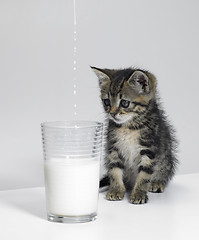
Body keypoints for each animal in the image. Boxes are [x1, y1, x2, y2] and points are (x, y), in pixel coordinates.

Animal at [91, 66, 177, 204]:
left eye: (124, 103)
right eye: (107, 102)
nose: (112, 113)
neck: (129, 127)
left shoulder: (149, 149)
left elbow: (145, 174)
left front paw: (139, 193)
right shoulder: (113, 147)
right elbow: (114, 169)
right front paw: (116, 190)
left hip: (166, 158)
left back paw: (157, 182)